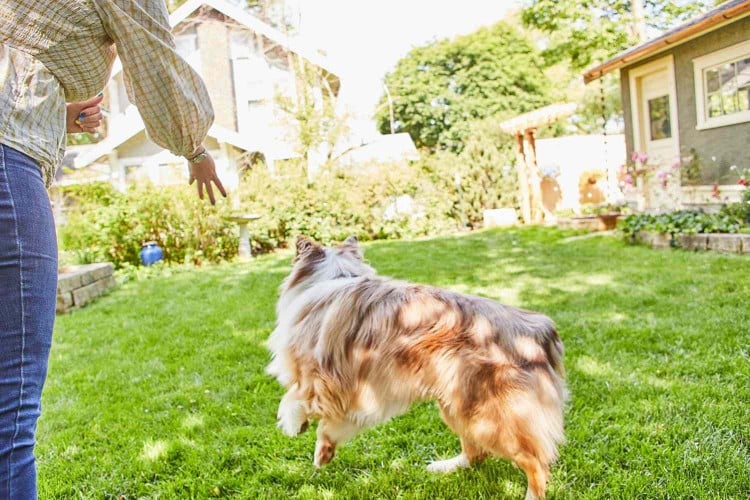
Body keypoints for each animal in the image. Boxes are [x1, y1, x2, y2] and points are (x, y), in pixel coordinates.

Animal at [268, 236, 568, 498]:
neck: (339, 276)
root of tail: (540, 330)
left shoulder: (317, 374)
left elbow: (293, 399)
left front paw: (294, 424)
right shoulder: (354, 390)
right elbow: (331, 422)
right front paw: (324, 450)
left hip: (489, 416)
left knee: (536, 462)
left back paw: (531, 494)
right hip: (458, 404)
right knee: (477, 453)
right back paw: (444, 467)